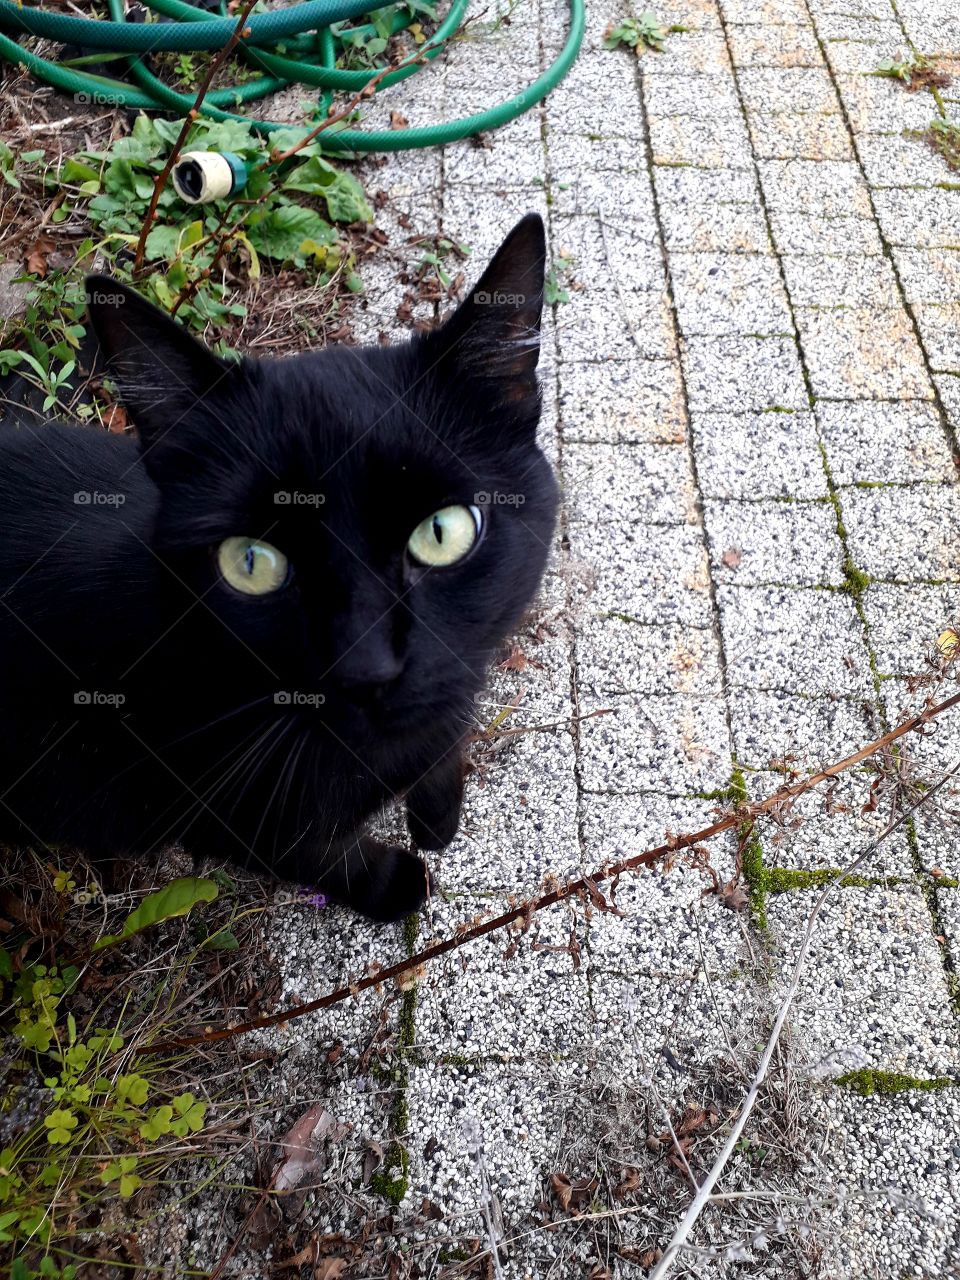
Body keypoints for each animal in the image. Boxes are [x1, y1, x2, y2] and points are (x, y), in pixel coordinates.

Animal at [0, 217, 555, 921]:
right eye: (251, 564)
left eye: (441, 532)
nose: (367, 672)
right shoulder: (219, 812)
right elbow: (326, 857)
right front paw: (399, 883)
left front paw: (438, 817)